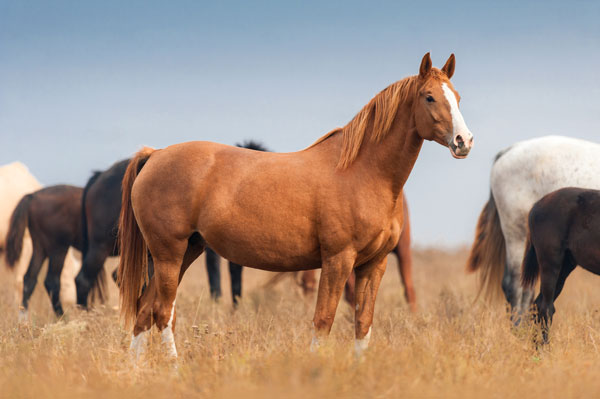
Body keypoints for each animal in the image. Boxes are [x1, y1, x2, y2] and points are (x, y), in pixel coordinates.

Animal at [117, 53, 474, 362]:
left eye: (457, 97)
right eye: (429, 97)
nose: (464, 141)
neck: (363, 171)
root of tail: (155, 154)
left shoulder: (375, 264)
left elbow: (363, 325)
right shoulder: (337, 261)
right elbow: (323, 321)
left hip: (188, 250)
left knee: (144, 309)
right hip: (169, 254)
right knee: (163, 312)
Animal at [524, 188, 600, 344]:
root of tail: (536, 206)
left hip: (564, 269)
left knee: (536, 306)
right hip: (550, 266)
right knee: (545, 308)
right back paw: (545, 347)